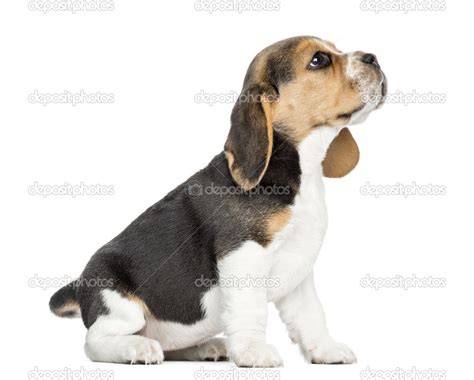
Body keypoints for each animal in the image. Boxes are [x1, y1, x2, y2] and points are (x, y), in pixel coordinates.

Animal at [51, 36, 386, 368]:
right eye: (318, 60)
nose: (373, 58)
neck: (300, 168)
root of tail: (79, 285)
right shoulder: (243, 255)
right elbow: (251, 311)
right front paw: (253, 351)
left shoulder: (299, 270)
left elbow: (311, 315)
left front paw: (326, 349)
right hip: (117, 302)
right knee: (95, 342)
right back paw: (137, 348)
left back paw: (207, 347)